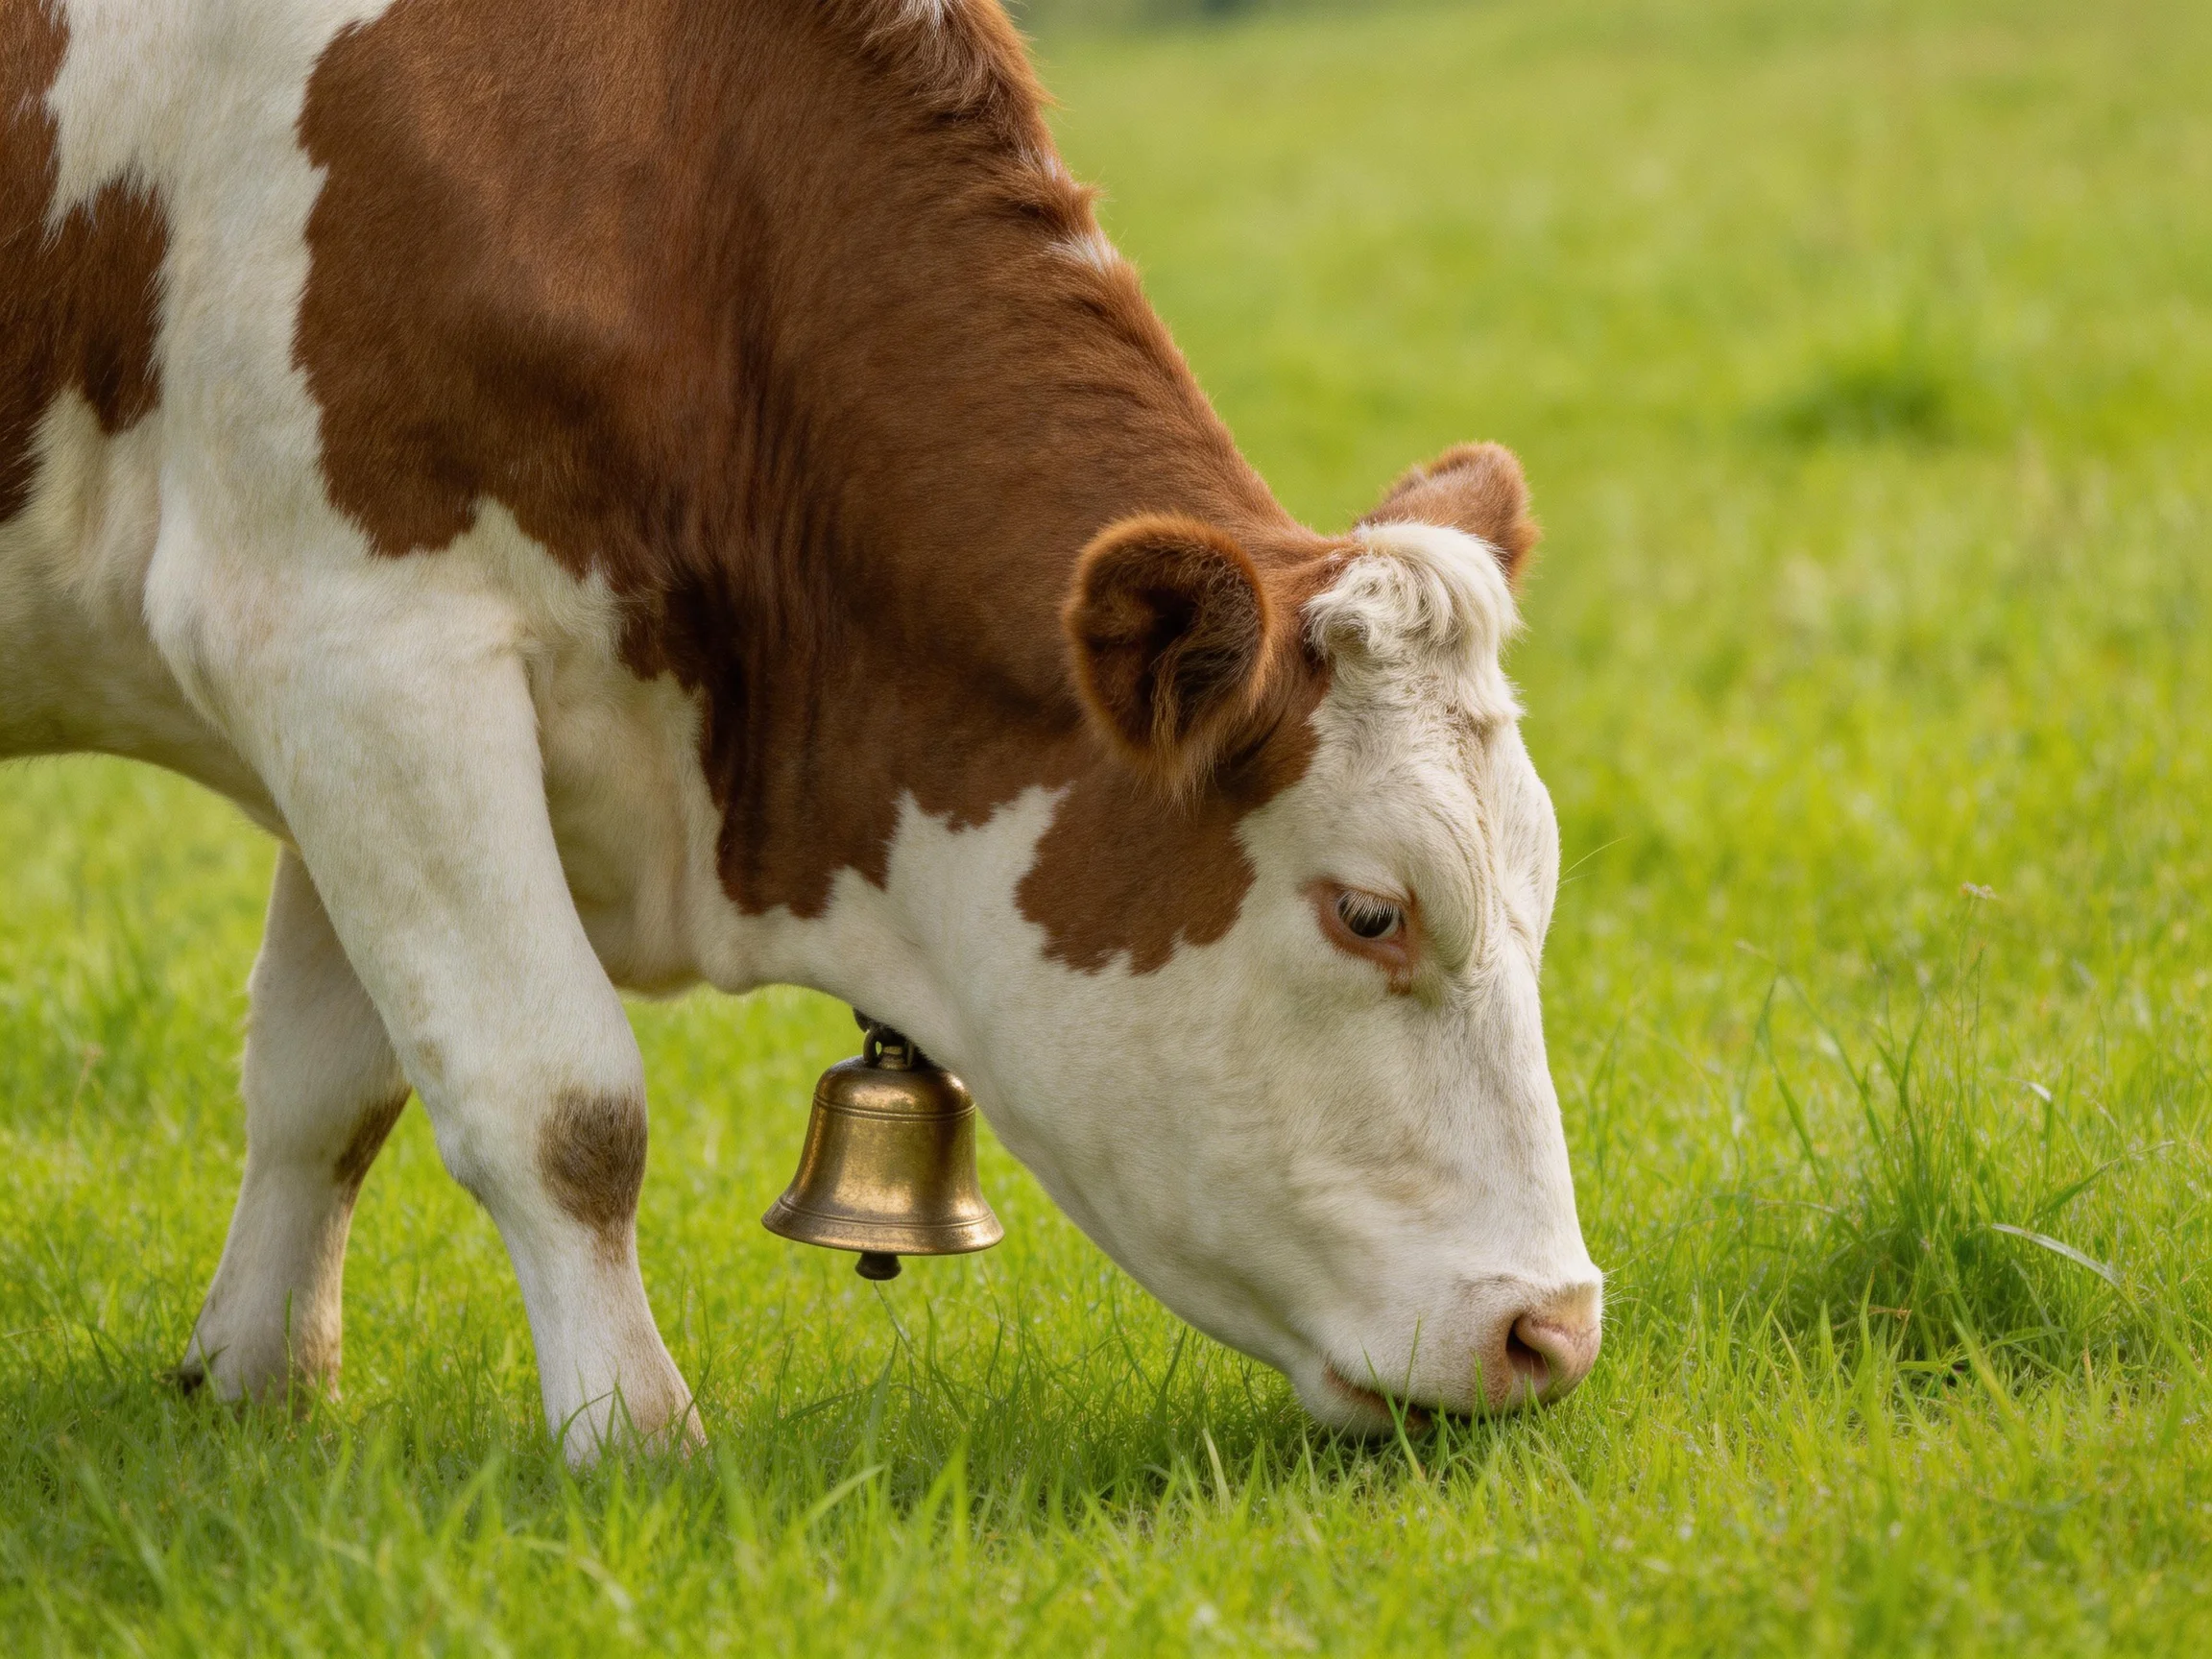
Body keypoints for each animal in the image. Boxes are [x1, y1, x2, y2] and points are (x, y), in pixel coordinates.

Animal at [0, 0, 1602, 1463]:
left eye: (1540, 892)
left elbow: (323, 1089)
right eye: (1370, 912)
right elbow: (559, 1103)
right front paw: (635, 1447)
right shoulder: (353, 639)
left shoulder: (341, 695)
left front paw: (254, 1388)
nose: (1554, 1332)